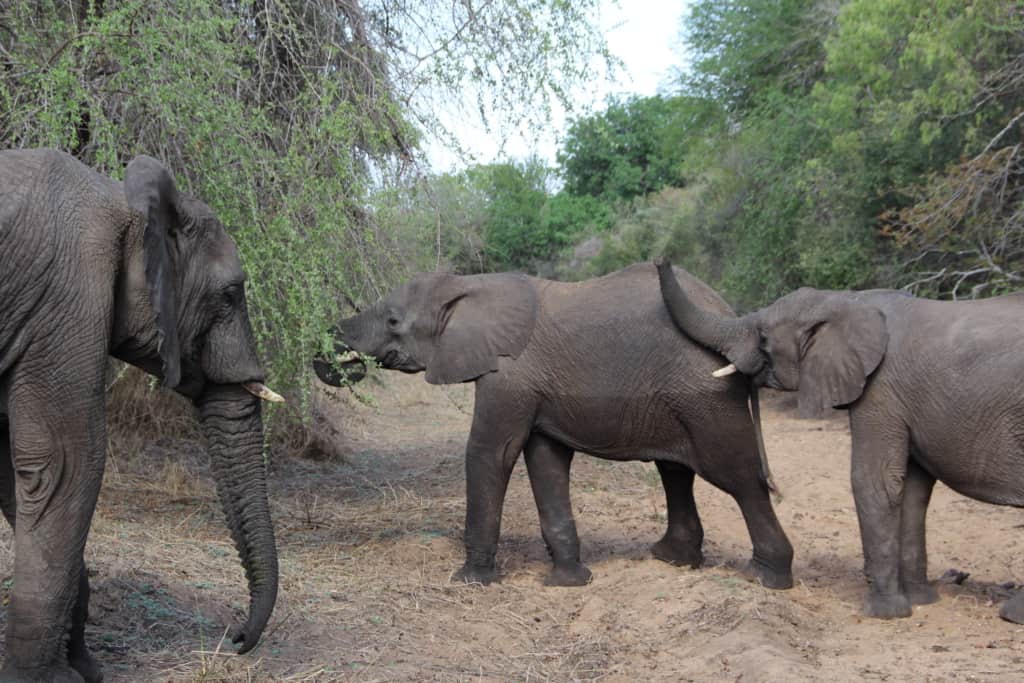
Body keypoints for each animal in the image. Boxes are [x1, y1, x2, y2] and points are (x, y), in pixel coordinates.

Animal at [0, 150, 282, 683]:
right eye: (230, 294)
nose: (236, 638)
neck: (126, 205)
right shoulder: (67, 293)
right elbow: (65, 464)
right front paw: (45, 678)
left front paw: (81, 667)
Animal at [315, 264, 794, 589]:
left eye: (393, 321)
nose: (344, 361)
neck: (468, 284)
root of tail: (732, 319)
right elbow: (545, 461)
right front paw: (568, 581)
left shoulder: (509, 374)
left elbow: (491, 453)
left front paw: (471, 580)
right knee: (675, 472)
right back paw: (670, 559)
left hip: (706, 396)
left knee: (739, 478)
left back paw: (766, 578)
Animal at [651, 255, 1024, 626]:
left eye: (764, 338)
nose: (660, 260)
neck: (845, 301)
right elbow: (914, 489)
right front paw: (921, 601)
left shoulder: (881, 389)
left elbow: (874, 481)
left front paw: (884, 614)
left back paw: (1011, 615)